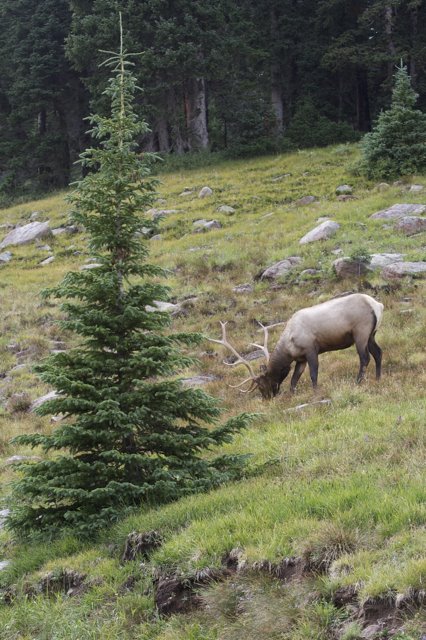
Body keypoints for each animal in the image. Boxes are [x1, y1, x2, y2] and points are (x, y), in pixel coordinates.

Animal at [208, 292, 384, 398]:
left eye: (260, 385)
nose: (267, 399)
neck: (289, 348)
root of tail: (377, 305)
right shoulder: (301, 359)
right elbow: (294, 380)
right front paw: (291, 395)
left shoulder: (311, 349)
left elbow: (313, 373)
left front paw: (315, 392)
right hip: (371, 334)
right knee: (378, 353)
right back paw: (378, 378)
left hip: (361, 332)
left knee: (365, 357)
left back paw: (358, 381)